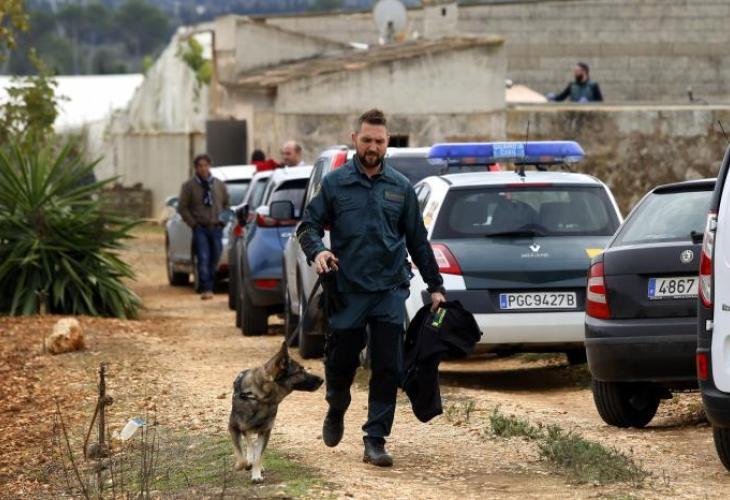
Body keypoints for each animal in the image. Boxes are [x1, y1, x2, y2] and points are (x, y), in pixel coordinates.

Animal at [228, 341, 323, 482]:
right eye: (300, 370)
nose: (322, 380)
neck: (260, 398)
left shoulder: (265, 431)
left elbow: (258, 455)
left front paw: (256, 474)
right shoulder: (233, 428)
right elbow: (242, 457)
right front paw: (241, 465)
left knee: (253, 446)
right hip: (244, 428)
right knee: (249, 442)